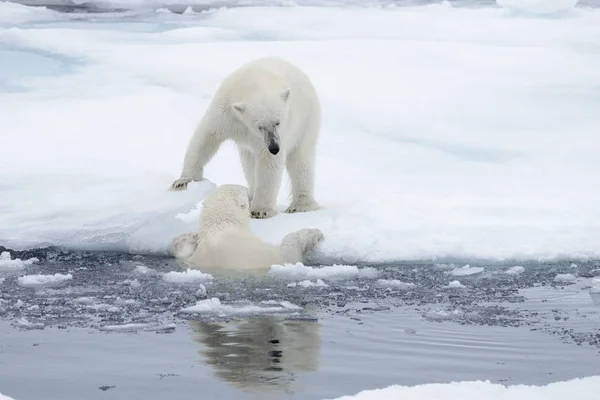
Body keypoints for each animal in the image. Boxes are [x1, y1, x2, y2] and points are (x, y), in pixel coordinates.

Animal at [169, 186, 324, 274]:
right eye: (244, 190)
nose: (251, 189)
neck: (221, 226)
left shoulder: (198, 255)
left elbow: (184, 254)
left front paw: (188, 237)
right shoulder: (254, 251)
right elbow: (287, 256)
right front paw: (313, 233)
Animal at [171, 56, 322, 219]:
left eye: (278, 122)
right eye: (260, 126)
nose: (274, 148)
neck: (254, 82)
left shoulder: (281, 131)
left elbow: (269, 164)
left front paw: (261, 210)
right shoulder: (226, 113)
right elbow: (206, 136)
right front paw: (183, 182)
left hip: (306, 121)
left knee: (300, 160)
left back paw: (300, 206)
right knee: (249, 163)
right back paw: (250, 196)